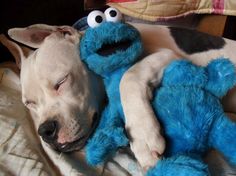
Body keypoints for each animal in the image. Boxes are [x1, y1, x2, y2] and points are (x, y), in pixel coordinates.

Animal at [4, 10, 236, 175]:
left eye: (61, 82)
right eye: (29, 103)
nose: (46, 130)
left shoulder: (170, 57)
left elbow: (129, 76)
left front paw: (143, 136)